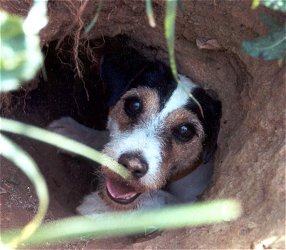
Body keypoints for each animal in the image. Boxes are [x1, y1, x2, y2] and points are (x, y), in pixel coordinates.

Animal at [47, 49, 221, 217]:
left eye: (185, 131)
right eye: (134, 104)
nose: (132, 165)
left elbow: (161, 199)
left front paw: (98, 207)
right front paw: (73, 133)